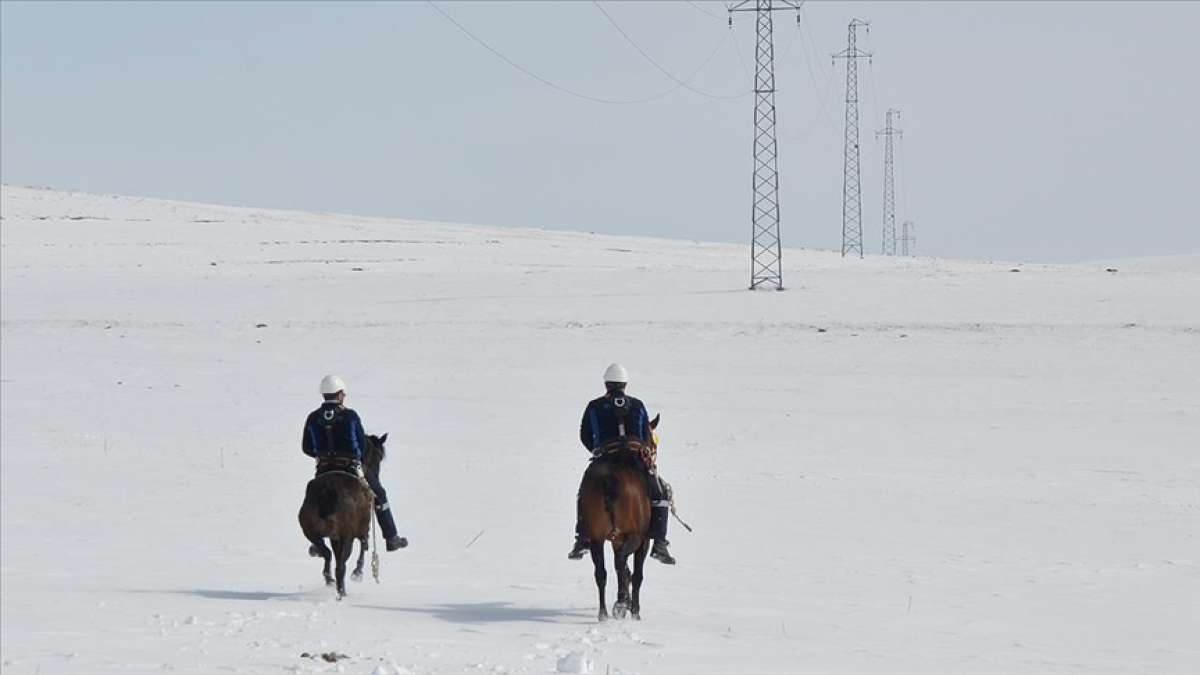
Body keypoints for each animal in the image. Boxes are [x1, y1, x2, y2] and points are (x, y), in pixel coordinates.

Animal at [297, 429, 386, 593]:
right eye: (379, 456)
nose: (376, 476)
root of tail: (327, 492)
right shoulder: (361, 528)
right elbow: (364, 544)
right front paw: (357, 573)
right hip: (346, 537)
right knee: (340, 565)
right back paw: (342, 590)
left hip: (311, 531)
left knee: (327, 553)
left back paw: (329, 578)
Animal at [578, 415, 662, 619]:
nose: (654, 461)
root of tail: (610, 479)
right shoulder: (643, 540)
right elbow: (637, 574)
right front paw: (634, 610)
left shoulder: (616, 539)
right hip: (636, 535)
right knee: (622, 563)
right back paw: (622, 603)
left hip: (596, 537)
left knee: (601, 572)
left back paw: (604, 613)